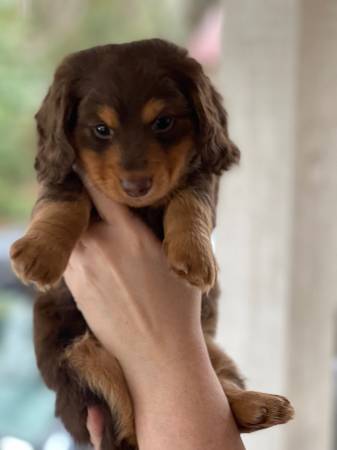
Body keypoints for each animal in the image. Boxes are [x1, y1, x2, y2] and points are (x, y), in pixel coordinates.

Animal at [9, 39, 292, 450]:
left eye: (163, 122)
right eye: (101, 129)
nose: (136, 186)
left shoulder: (200, 177)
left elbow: (189, 201)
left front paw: (194, 255)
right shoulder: (67, 176)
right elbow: (65, 200)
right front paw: (39, 253)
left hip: (209, 350)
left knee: (222, 386)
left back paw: (259, 406)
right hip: (81, 360)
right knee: (125, 424)